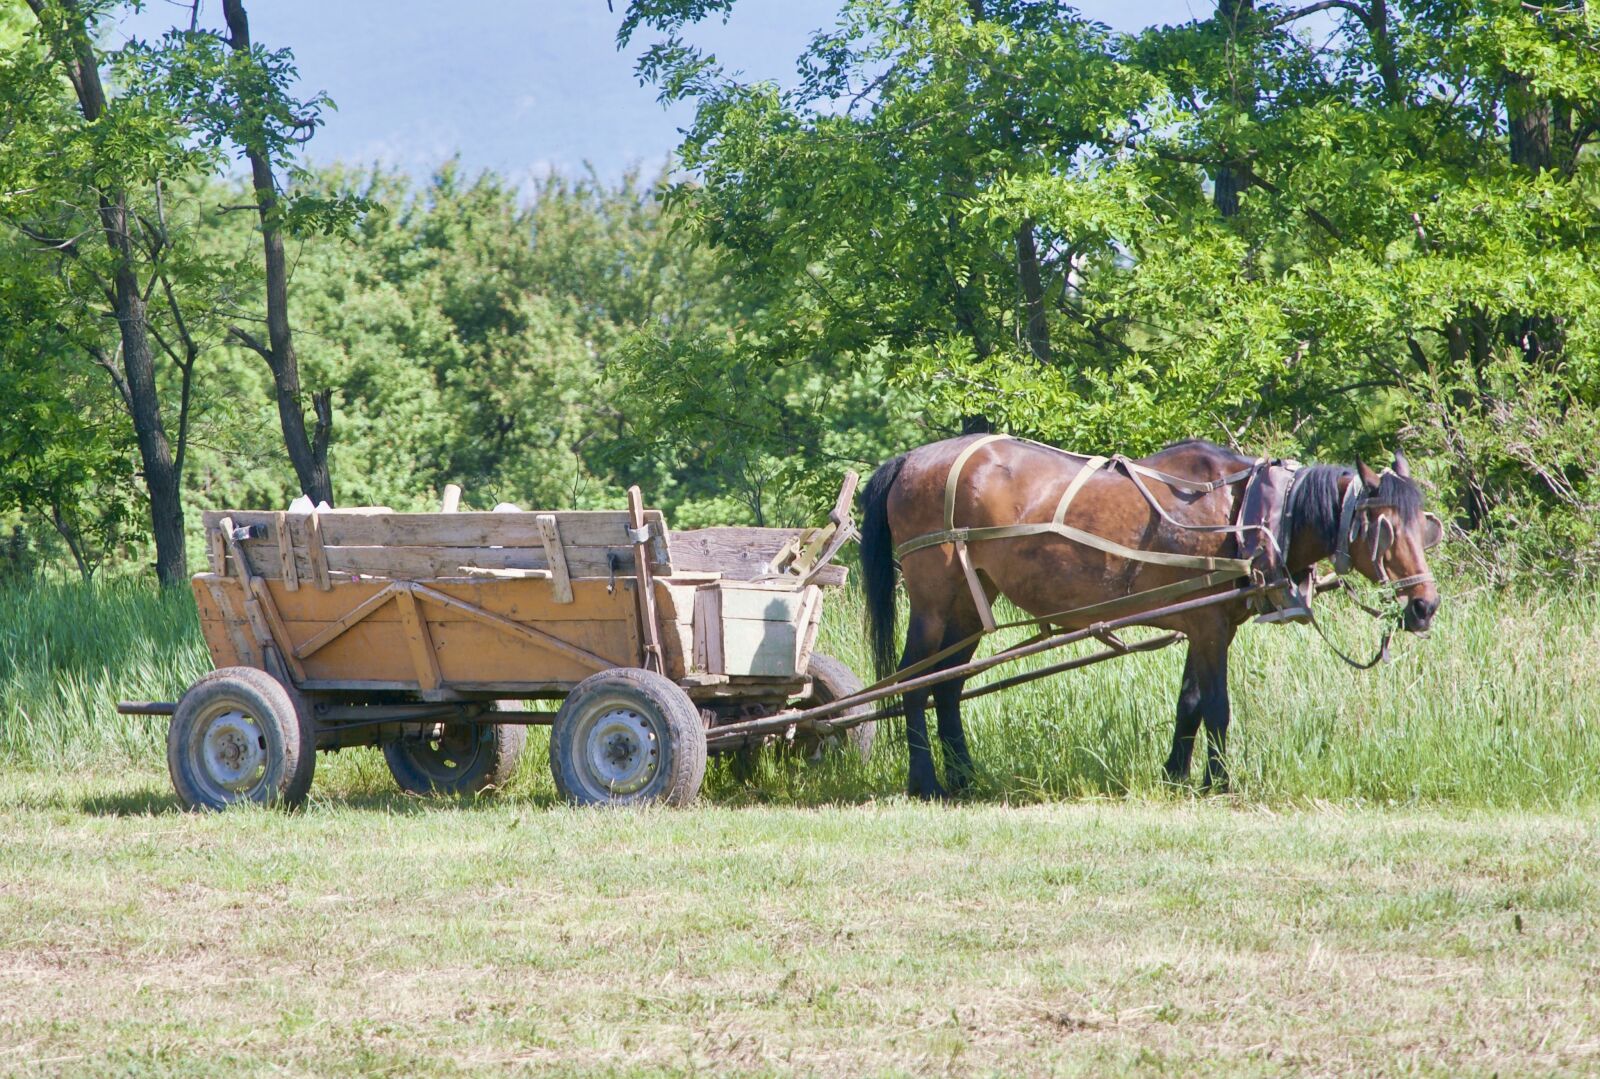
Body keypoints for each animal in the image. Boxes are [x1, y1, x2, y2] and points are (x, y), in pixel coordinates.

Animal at [870, 432, 1446, 794]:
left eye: (1424, 524)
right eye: (1385, 529)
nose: (1425, 605)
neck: (1247, 514)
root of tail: (909, 460)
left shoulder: (1208, 625)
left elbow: (1188, 703)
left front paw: (1175, 775)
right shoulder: (1209, 627)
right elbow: (1216, 706)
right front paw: (1219, 783)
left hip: (970, 604)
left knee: (947, 686)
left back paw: (964, 778)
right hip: (933, 601)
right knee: (913, 685)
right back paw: (925, 782)